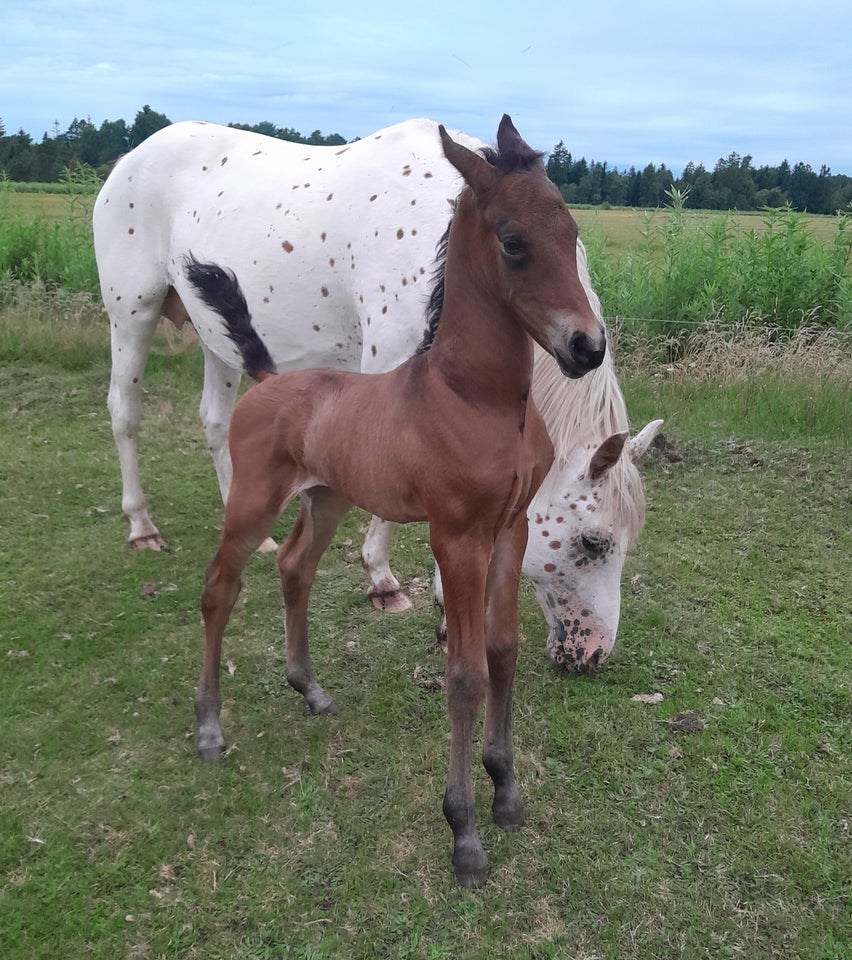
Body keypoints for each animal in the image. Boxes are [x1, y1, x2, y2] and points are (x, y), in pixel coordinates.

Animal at [96, 120, 664, 672]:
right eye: (593, 541)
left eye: (571, 233)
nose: (592, 654)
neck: (437, 231)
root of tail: (131, 157)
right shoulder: (386, 367)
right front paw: (386, 582)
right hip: (132, 316)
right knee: (124, 415)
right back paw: (141, 526)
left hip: (217, 336)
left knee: (215, 422)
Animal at [193, 116, 604, 888]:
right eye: (513, 240)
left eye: (570, 231)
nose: (586, 346)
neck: (476, 399)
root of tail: (269, 379)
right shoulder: (457, 538)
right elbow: (465, 674)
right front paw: (463, 832)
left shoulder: (509, 531)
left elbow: (503, 651)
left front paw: (506, 791)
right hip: (254, 503)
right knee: (219, 589)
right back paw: (208, 727)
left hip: (327, 499)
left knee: (295, 568)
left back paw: (310, 689)